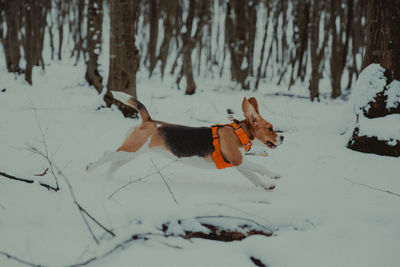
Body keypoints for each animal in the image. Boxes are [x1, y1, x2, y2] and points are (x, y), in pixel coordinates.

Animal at [85, 92, 282, 191]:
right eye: (270, 128)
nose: (283, 137)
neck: (239, 132)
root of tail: (149, 120)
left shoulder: (239, 164)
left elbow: (254, 176)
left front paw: (266, 185)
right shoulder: (239, 160)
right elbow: (259, 167)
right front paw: (274, 175)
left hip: (132, 153)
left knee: (114, 163)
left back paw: (109, 179)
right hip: (132, 149)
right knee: (107, 154)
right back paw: (90, 168)